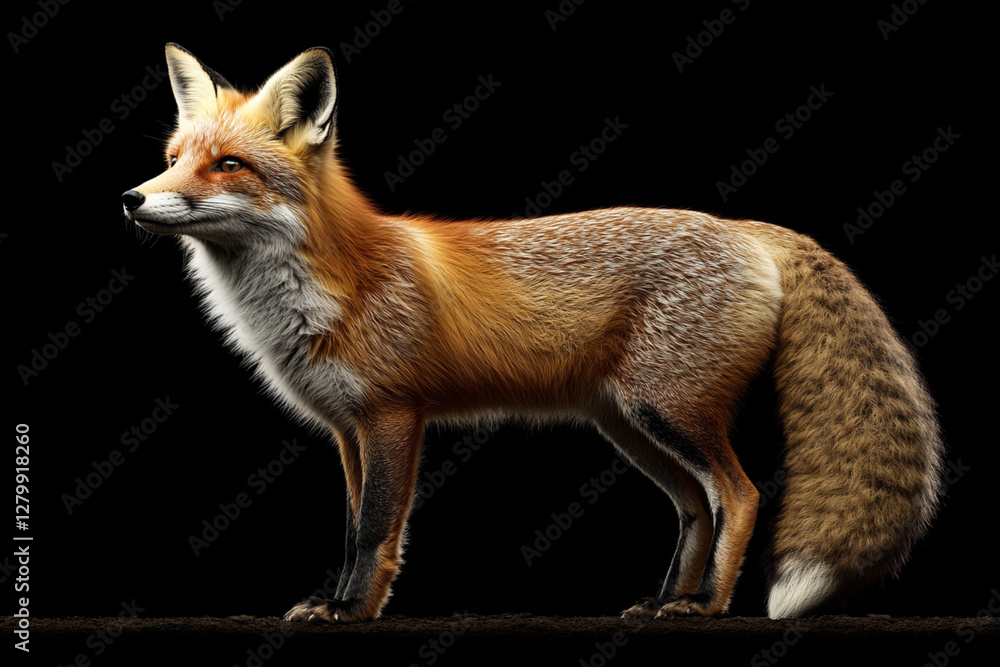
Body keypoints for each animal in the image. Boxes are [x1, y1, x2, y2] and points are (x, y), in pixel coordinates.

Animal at [122, 43, 944, 622]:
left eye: (229, 165)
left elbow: (376, 530)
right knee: (693, 506)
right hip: (631, 425)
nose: (131, 198)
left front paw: (351, 610)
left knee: (739, 496)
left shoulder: (392, 416)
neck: (328, 286)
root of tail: (744, 227)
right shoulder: (346, 429)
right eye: (172, 161)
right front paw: (342, 600)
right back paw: (663, 599)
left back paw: (705, 606)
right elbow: (355, 524)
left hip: (669, 412)